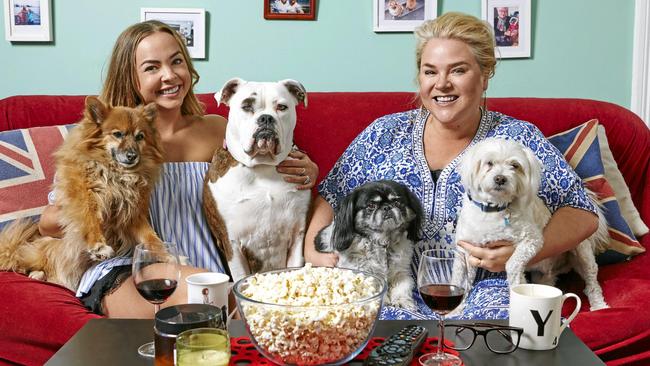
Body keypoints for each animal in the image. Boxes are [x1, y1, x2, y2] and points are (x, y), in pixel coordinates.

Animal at [0, 96, 165, 290]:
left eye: (140, 137)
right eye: (118, 134)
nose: (132, 155)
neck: (116, 173)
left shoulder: (131, 214)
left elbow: (150, 237)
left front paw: (168, 255)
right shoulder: (84, 197)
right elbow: (90, 220)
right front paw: (98, 246)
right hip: (46, 247)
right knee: (27, 262)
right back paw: (36, 274)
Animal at [316, 179, 426, 308]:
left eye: (397, 202)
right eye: (371, 205)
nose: (387, 207)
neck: (383, 243)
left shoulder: (401, 272)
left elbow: (402, 287)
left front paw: (402, 301)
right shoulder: (362, 272)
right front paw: (385, 300)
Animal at [454, 139, 604, 310]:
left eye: (514, 165)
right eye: (489, 163)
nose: (500, 178)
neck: (492, 210)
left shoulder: (531, 240)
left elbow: (512, 265)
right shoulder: (464, 250)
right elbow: (460, 279)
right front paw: (456, 308)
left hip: (581, 251)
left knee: (591, 280)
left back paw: (599, 305)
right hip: (543, 276)